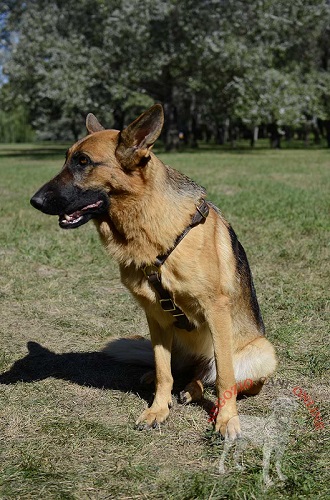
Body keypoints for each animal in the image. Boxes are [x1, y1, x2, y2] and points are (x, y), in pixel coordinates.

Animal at [30, 105, 276, 438]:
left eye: (83, 162)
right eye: (67, 159)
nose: (34, 201)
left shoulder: (215, 310)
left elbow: (225, 377)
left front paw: (227, 420)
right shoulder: (156, 317)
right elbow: (163, 370)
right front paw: (158, 409)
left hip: (260, 352)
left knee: (216, 377)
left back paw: (195, 391)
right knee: (182, 371)